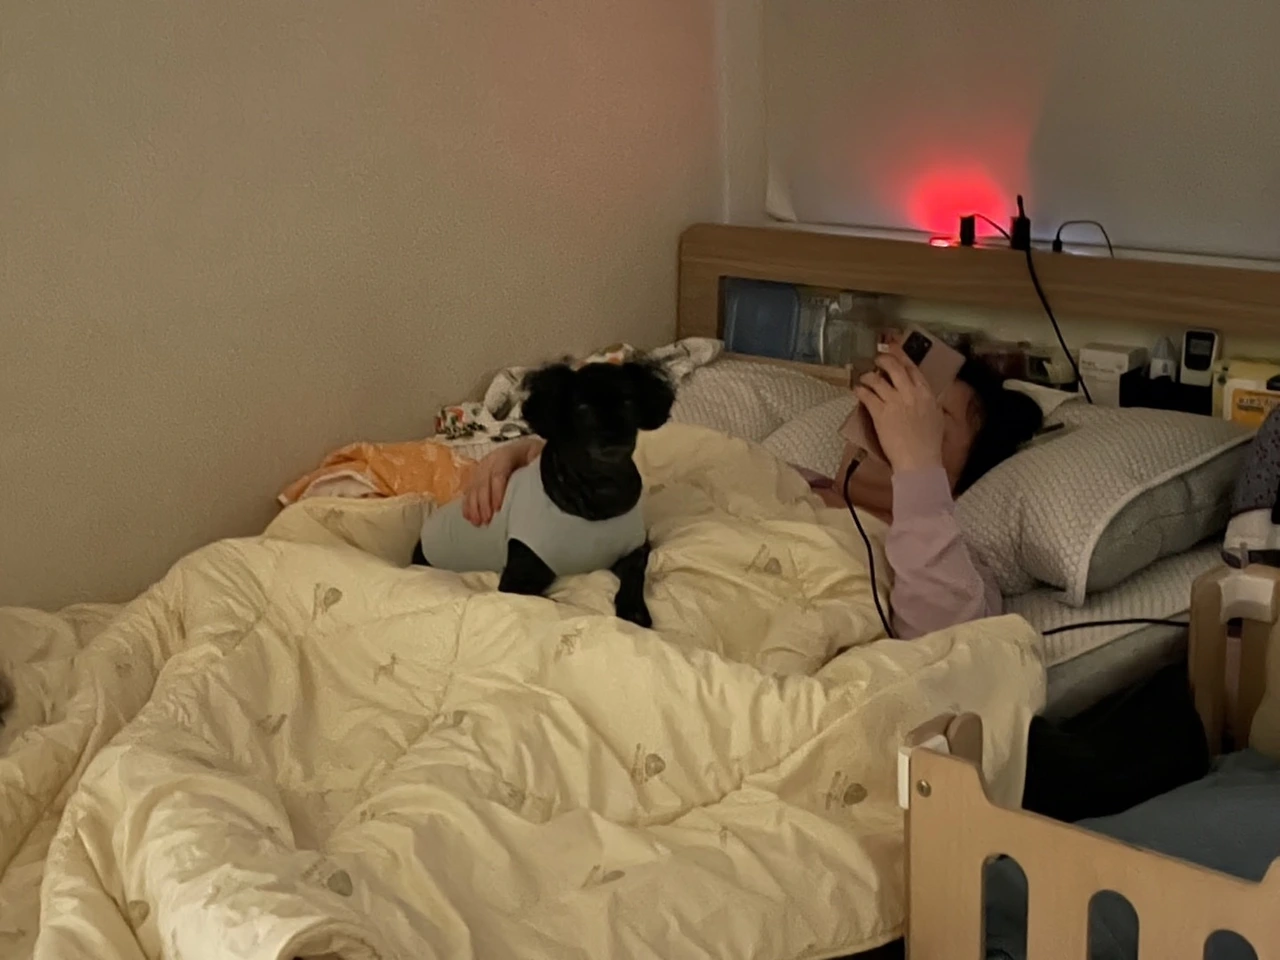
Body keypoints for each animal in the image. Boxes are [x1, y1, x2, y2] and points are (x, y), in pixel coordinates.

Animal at [413, 359, 675, 627]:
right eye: (582, 408)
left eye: (629, 402)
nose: (614, 437)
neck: (601, 490)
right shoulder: (516, 583)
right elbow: (563, 605)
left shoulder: (636, 548)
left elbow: (635, 574)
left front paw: (633, 608)